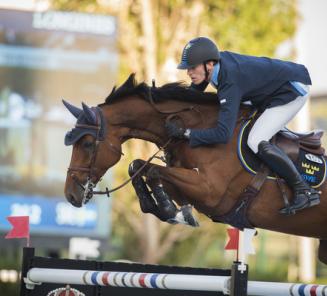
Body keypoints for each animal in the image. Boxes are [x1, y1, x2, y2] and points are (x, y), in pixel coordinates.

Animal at [63, 73, 327, 264]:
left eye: (87, 143)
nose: (71, 195)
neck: (197, 129)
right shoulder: (188, 189)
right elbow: (139, 166)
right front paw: (161, 208)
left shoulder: (210, 191)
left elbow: (153, 171)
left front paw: (171, 211)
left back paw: (304, 197)